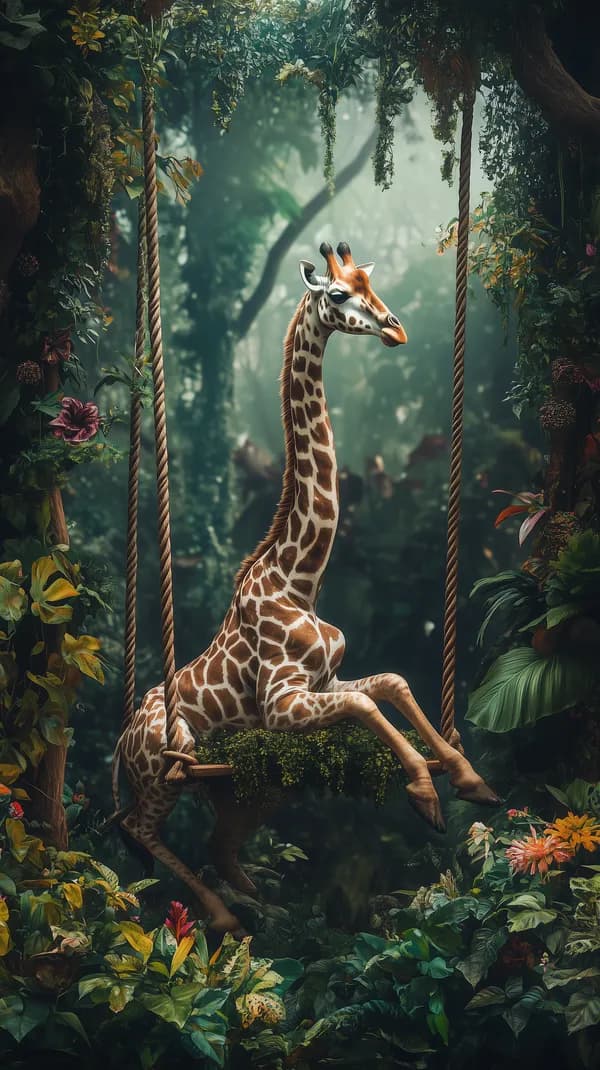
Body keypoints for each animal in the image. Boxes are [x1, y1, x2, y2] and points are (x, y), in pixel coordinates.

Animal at [113, 241, 500, 934]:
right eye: (340, 295)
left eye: (369, 284)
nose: (396, 328)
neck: (300, 579)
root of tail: (119, 749)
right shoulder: (281, 703)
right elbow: (369, 707)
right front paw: (424, 796)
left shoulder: (322, 683)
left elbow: (390, 684)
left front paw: (469, 778)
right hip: (167, 767)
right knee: (140, 829)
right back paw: (225, 917)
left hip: (231, 781)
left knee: (211, 838)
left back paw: (260, 899)